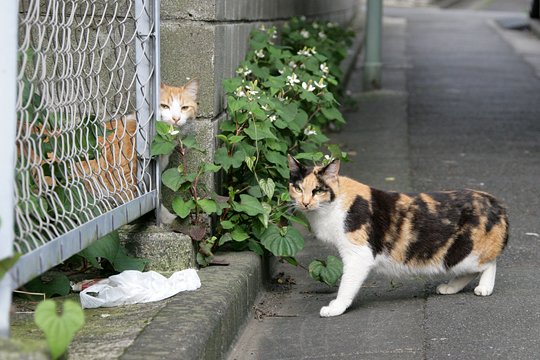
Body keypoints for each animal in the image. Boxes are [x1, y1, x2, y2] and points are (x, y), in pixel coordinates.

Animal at [288, 155, 508, 318]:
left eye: (318, 190)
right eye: (298, 188)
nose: (305, 202)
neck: (331, 207)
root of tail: (494, 201)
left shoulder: (358, 255)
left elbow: (346, 284)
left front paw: (336, 307)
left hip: (464, 251)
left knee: (489, 263)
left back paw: (484, 288)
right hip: (456, 257)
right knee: (471, 270)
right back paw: (450, 287)